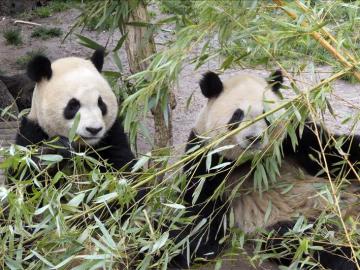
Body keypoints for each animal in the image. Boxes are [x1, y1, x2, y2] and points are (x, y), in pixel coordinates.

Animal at [171, 70, 360, 268]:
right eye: (237, 116)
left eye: (266, 115)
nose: (254, 138)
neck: (253, 161)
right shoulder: (206, 156)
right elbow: (201, 213)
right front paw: (185, 249)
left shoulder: (295, 138)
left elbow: (335, 154)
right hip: (299, 224)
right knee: (312, 243)